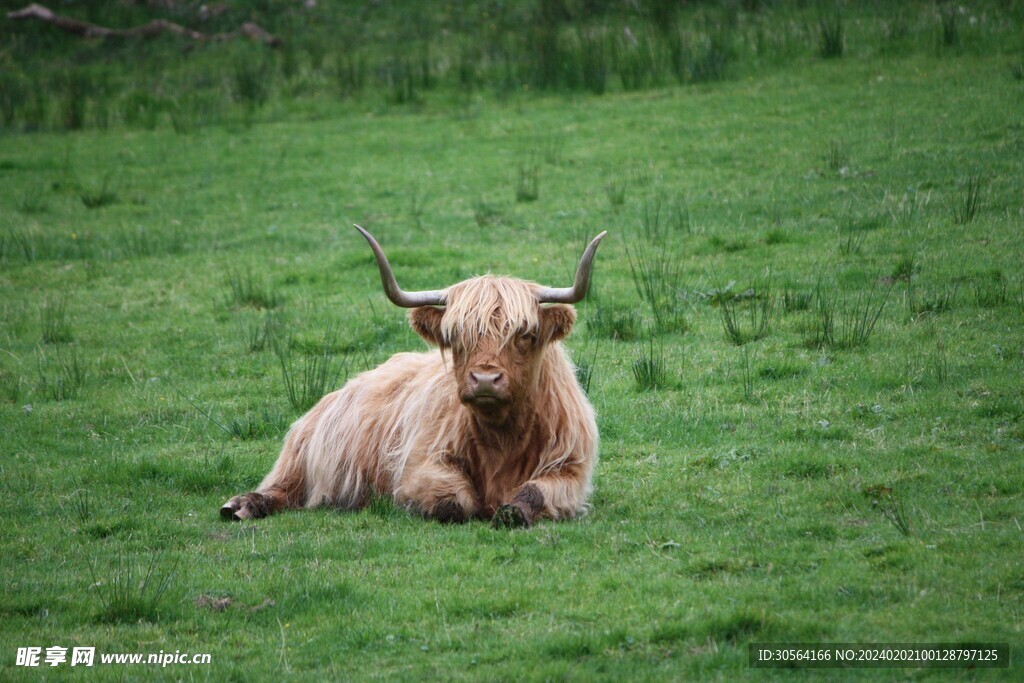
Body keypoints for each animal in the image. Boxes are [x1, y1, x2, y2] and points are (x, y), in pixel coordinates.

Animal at [220, 224, 602, 528]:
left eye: (525, 334)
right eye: (455, 336)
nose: (484, 380)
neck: (501, 437)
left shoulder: (570, 468)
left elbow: (534, 493)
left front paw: (511, 512)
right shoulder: (419, 465)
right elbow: (455, 502)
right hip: (301, 456)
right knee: (281, 487)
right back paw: (240, 505)